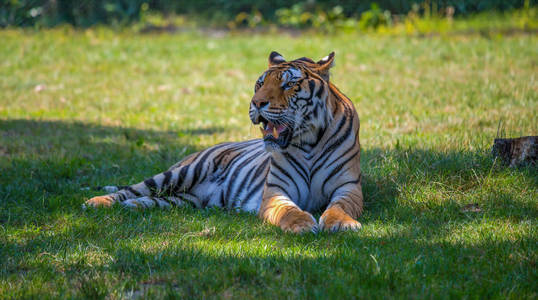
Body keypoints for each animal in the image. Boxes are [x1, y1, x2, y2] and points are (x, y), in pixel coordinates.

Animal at [86, 51, 362, 233]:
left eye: (289, 84)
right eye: (260, 84)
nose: (256, 103)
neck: (308, 143)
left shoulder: (348, 187)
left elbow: (340, 207)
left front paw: (343, 224)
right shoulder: (276, 190)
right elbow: (288, 210)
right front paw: (302, 224)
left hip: (183, 200)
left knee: (150, 199)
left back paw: (132, 206)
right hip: (181, 173)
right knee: (134, 188)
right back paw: (97, 203)